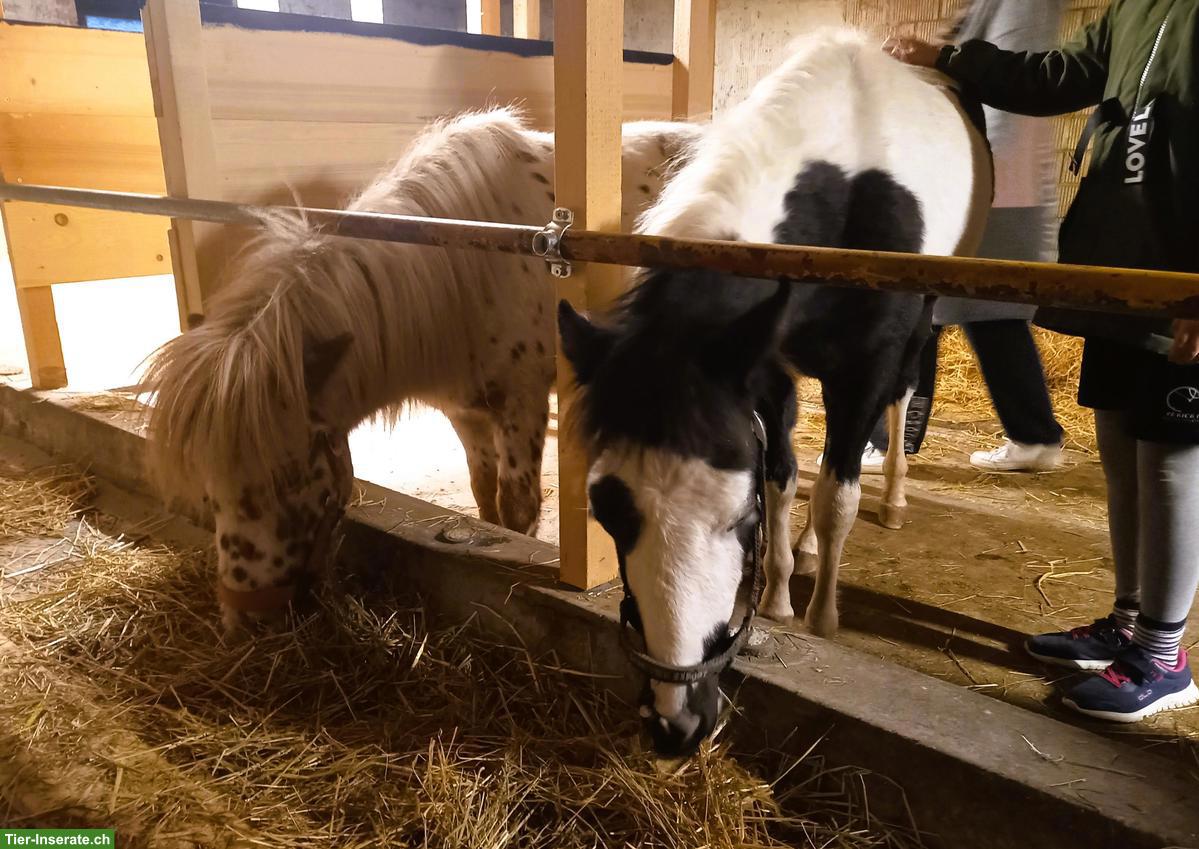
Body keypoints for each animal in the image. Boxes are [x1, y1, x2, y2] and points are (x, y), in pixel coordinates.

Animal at [143, 107, 703, 636]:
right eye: (210, 482)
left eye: (289, 473)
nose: (245, 619)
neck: (471, 267)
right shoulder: (466, 412)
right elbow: (485, 497)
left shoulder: (521, 404)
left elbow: (517, 509)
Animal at [557, 28, 991, 756]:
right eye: (608, 512)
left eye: (739, 520)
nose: (674, 722)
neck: (843, 186)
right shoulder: (764, 372)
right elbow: (785, 478)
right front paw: (782, 594)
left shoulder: (861, 373)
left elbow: (837, 495)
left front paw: (821, 618)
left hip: (927, 316)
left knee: (903, 397)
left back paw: (894, 500)